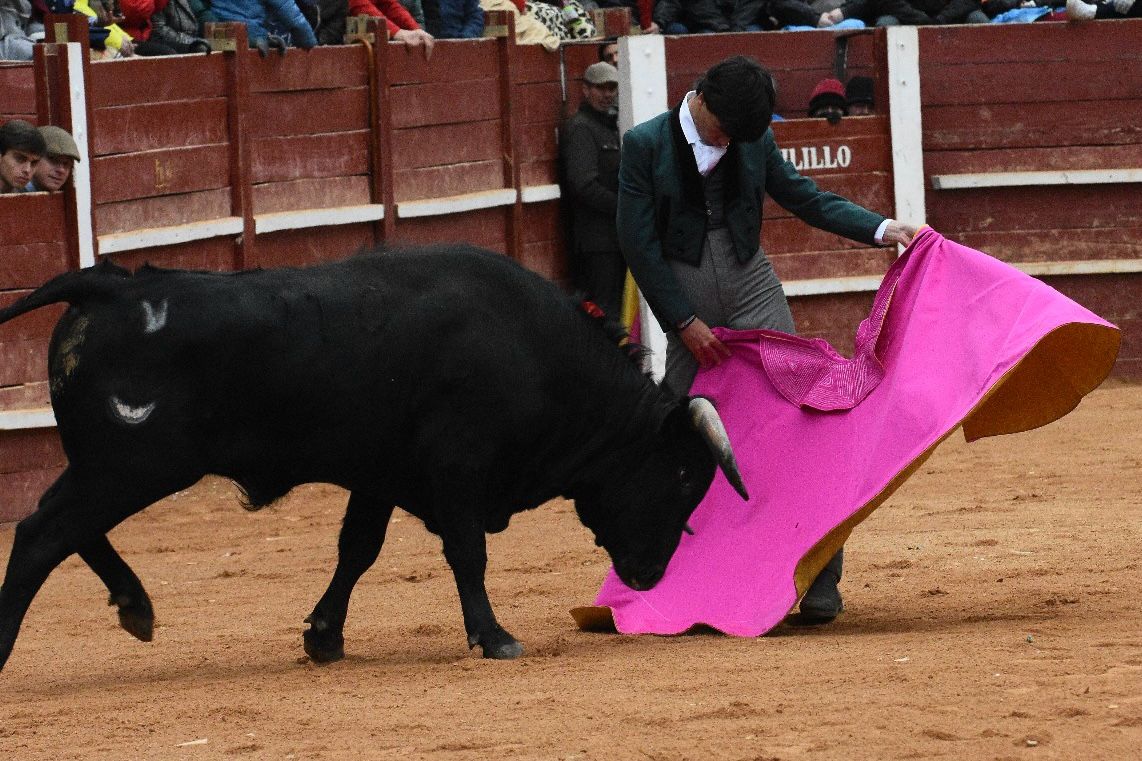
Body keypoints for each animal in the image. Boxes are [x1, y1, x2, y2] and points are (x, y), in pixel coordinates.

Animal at [0, 245, 749, 667]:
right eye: (684, 473)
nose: (652, 575)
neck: (539, 354)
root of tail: (112, 285)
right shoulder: (457, 467)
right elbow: (467, 552)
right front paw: (494, 637)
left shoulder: (381, 474)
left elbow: (357, 548)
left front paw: (324, 637)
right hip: (130, 465)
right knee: (41, 533)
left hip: (110, 466)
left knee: (66, 529)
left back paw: (136, 606)